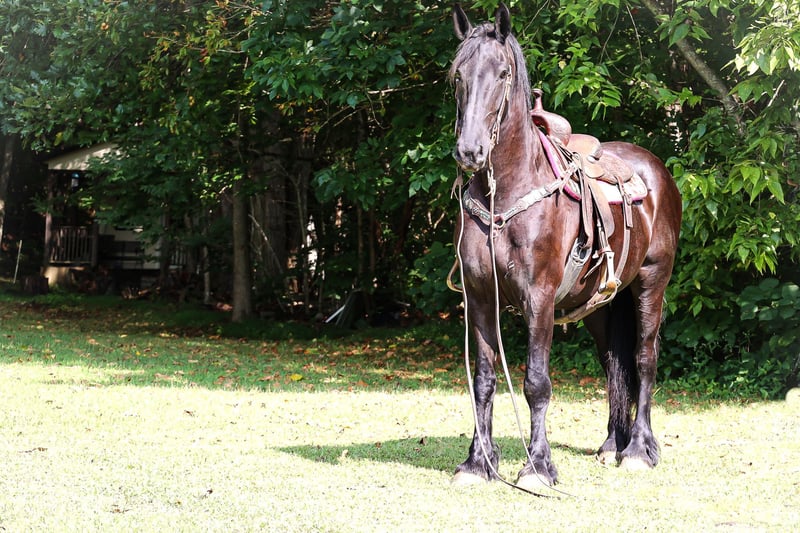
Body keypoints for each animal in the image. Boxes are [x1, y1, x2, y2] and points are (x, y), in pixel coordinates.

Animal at [448, 3, 682, 490]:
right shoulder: (479, 297)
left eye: (502, 73)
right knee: (614, 363)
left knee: (643, 359)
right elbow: (483, 379)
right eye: (457, 74)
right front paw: (479, 463)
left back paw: (638, 449)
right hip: (598, 306)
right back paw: (612, 443)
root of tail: (656, 171)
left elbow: (537, 382)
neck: (508, 192)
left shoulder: (538, 298)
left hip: (651, 283)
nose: (470, 152)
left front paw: (538, 467)